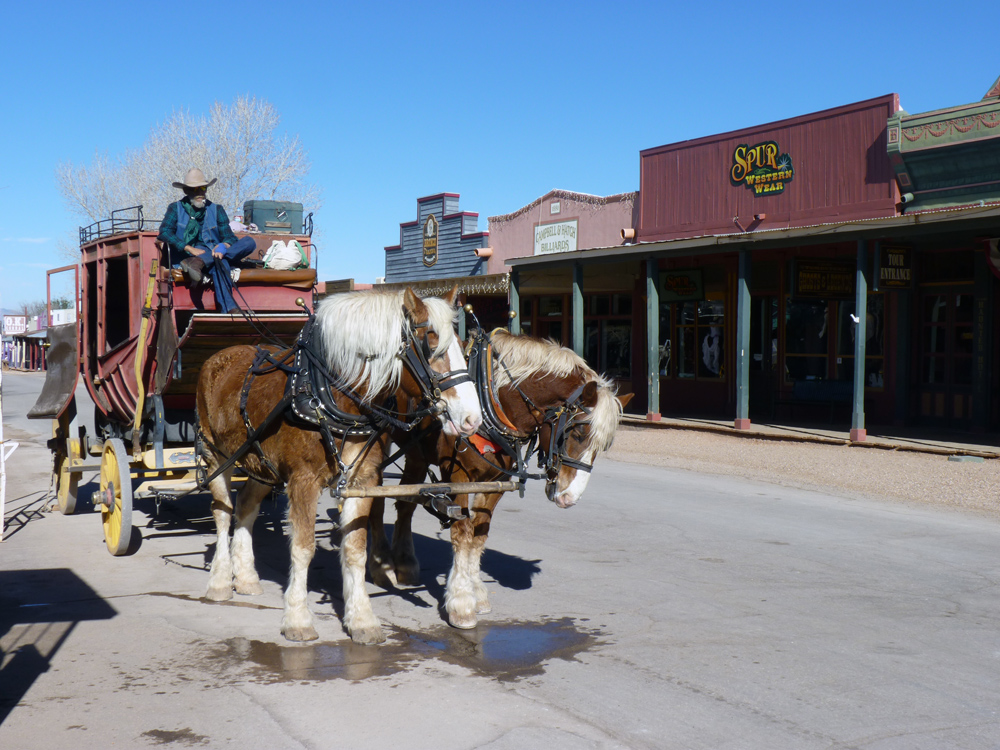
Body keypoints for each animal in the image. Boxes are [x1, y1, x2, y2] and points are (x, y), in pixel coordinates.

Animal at [196, 290, 484, 648]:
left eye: (461, 345)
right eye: (432, 347)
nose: (473, 419)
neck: (331, 396)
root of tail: (218, 357)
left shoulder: (360, 481)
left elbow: (355, 549)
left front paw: (361, 619)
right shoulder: (302, 481)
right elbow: (303, 548)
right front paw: (297, 618)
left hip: (260, 461)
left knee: (246, 507)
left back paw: (246, 576)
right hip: (217, 454)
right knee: (222, 512)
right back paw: (221, 580)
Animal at [368, 332, 632, 632]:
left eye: (604, 446)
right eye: (577, 433)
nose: (570, 497)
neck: (491, 399)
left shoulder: (495, 481)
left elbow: (479, 534)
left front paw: (477, 592)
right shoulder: (457, 476)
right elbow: (462, 534)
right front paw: (461, 603)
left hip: (416, 454)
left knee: (405, 504)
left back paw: (405, 564)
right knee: (375, 501)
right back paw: (382, 565)